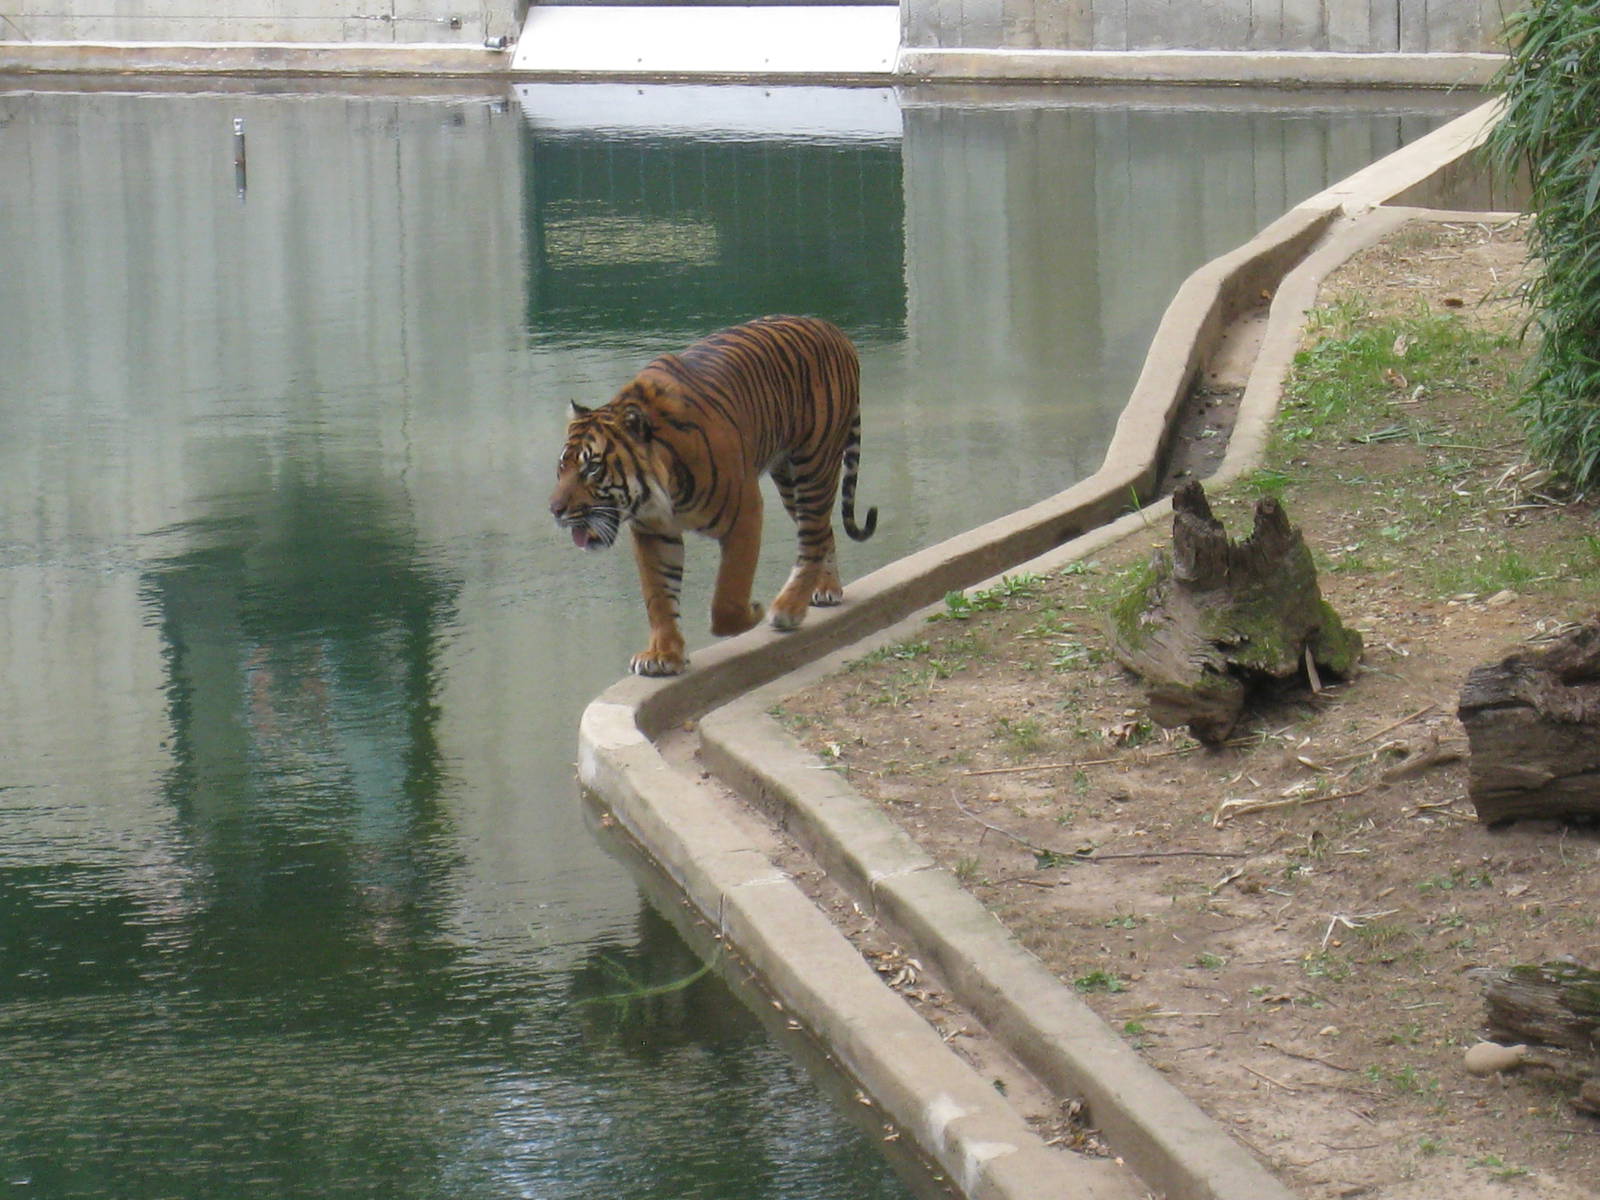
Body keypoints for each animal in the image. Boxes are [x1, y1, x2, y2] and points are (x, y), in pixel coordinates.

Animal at [548, 314, 878, 677]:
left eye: (592, 468)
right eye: (562, 467)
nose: (554, 510)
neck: (661, 491)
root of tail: (832, 328)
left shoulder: (746, 512)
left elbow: (727, 596)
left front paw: (753, 611)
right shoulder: (653, 531)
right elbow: (658, 595)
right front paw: (663, 655)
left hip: (814, 466)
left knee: (813, 537)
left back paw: (788, 608)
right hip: (789, 479)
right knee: (823, 533)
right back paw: (824, 589)